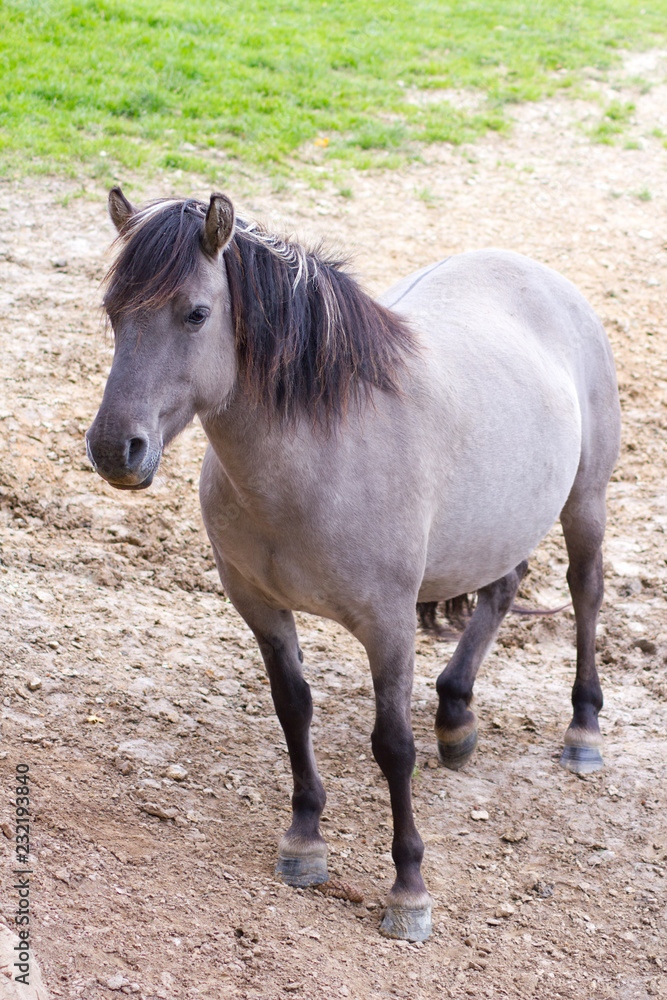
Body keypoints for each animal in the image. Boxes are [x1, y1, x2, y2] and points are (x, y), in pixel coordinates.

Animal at [86, 188, 621, 942]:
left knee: (585, 592)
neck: (320, 453)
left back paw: (581, 731)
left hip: (585, 500)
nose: (114, 449)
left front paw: (408, 891)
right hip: (498, 521)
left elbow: (391, 745)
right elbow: (293, 709)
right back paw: (456, 716)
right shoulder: (260, 608)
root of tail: (542, 277)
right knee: (503, 587)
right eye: (113, 311)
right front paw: (304, 841)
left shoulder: (387, 625)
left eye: (195, 313)